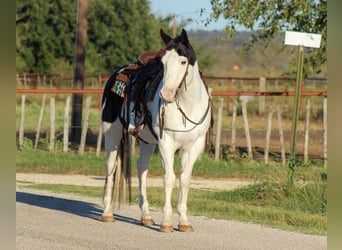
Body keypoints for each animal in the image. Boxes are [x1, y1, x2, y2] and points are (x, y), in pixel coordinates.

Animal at [99, 27, 211, 232]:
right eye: (163, 63)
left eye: (183, 61)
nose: (166, 94)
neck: (187, 106)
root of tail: (117, 73)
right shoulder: (166, 143)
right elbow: (169, 178)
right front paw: (166, 222)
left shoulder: (193, 146)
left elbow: (185, 179)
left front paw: (184, 221)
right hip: (112, 133)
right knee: (111, 167)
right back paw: (107, 212)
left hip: (147, 142)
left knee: (142, 168)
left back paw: (146, 216)